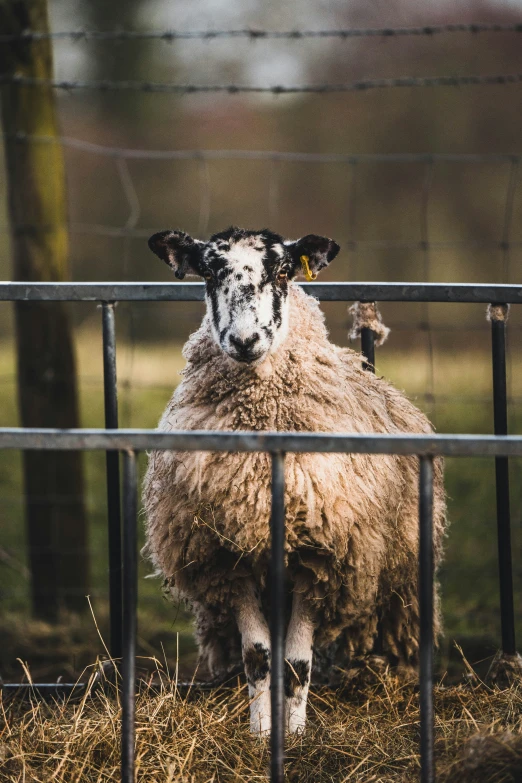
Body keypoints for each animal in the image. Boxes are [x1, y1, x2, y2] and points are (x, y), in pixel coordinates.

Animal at [142, 225, 442, 736]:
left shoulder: (322, 556)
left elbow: (298, 661)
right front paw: (262, 732)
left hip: (401, 578)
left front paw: (297, 735)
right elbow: (259, 656)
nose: (244, 340)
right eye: (209, 272)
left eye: (282, 271)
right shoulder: (229, 556)